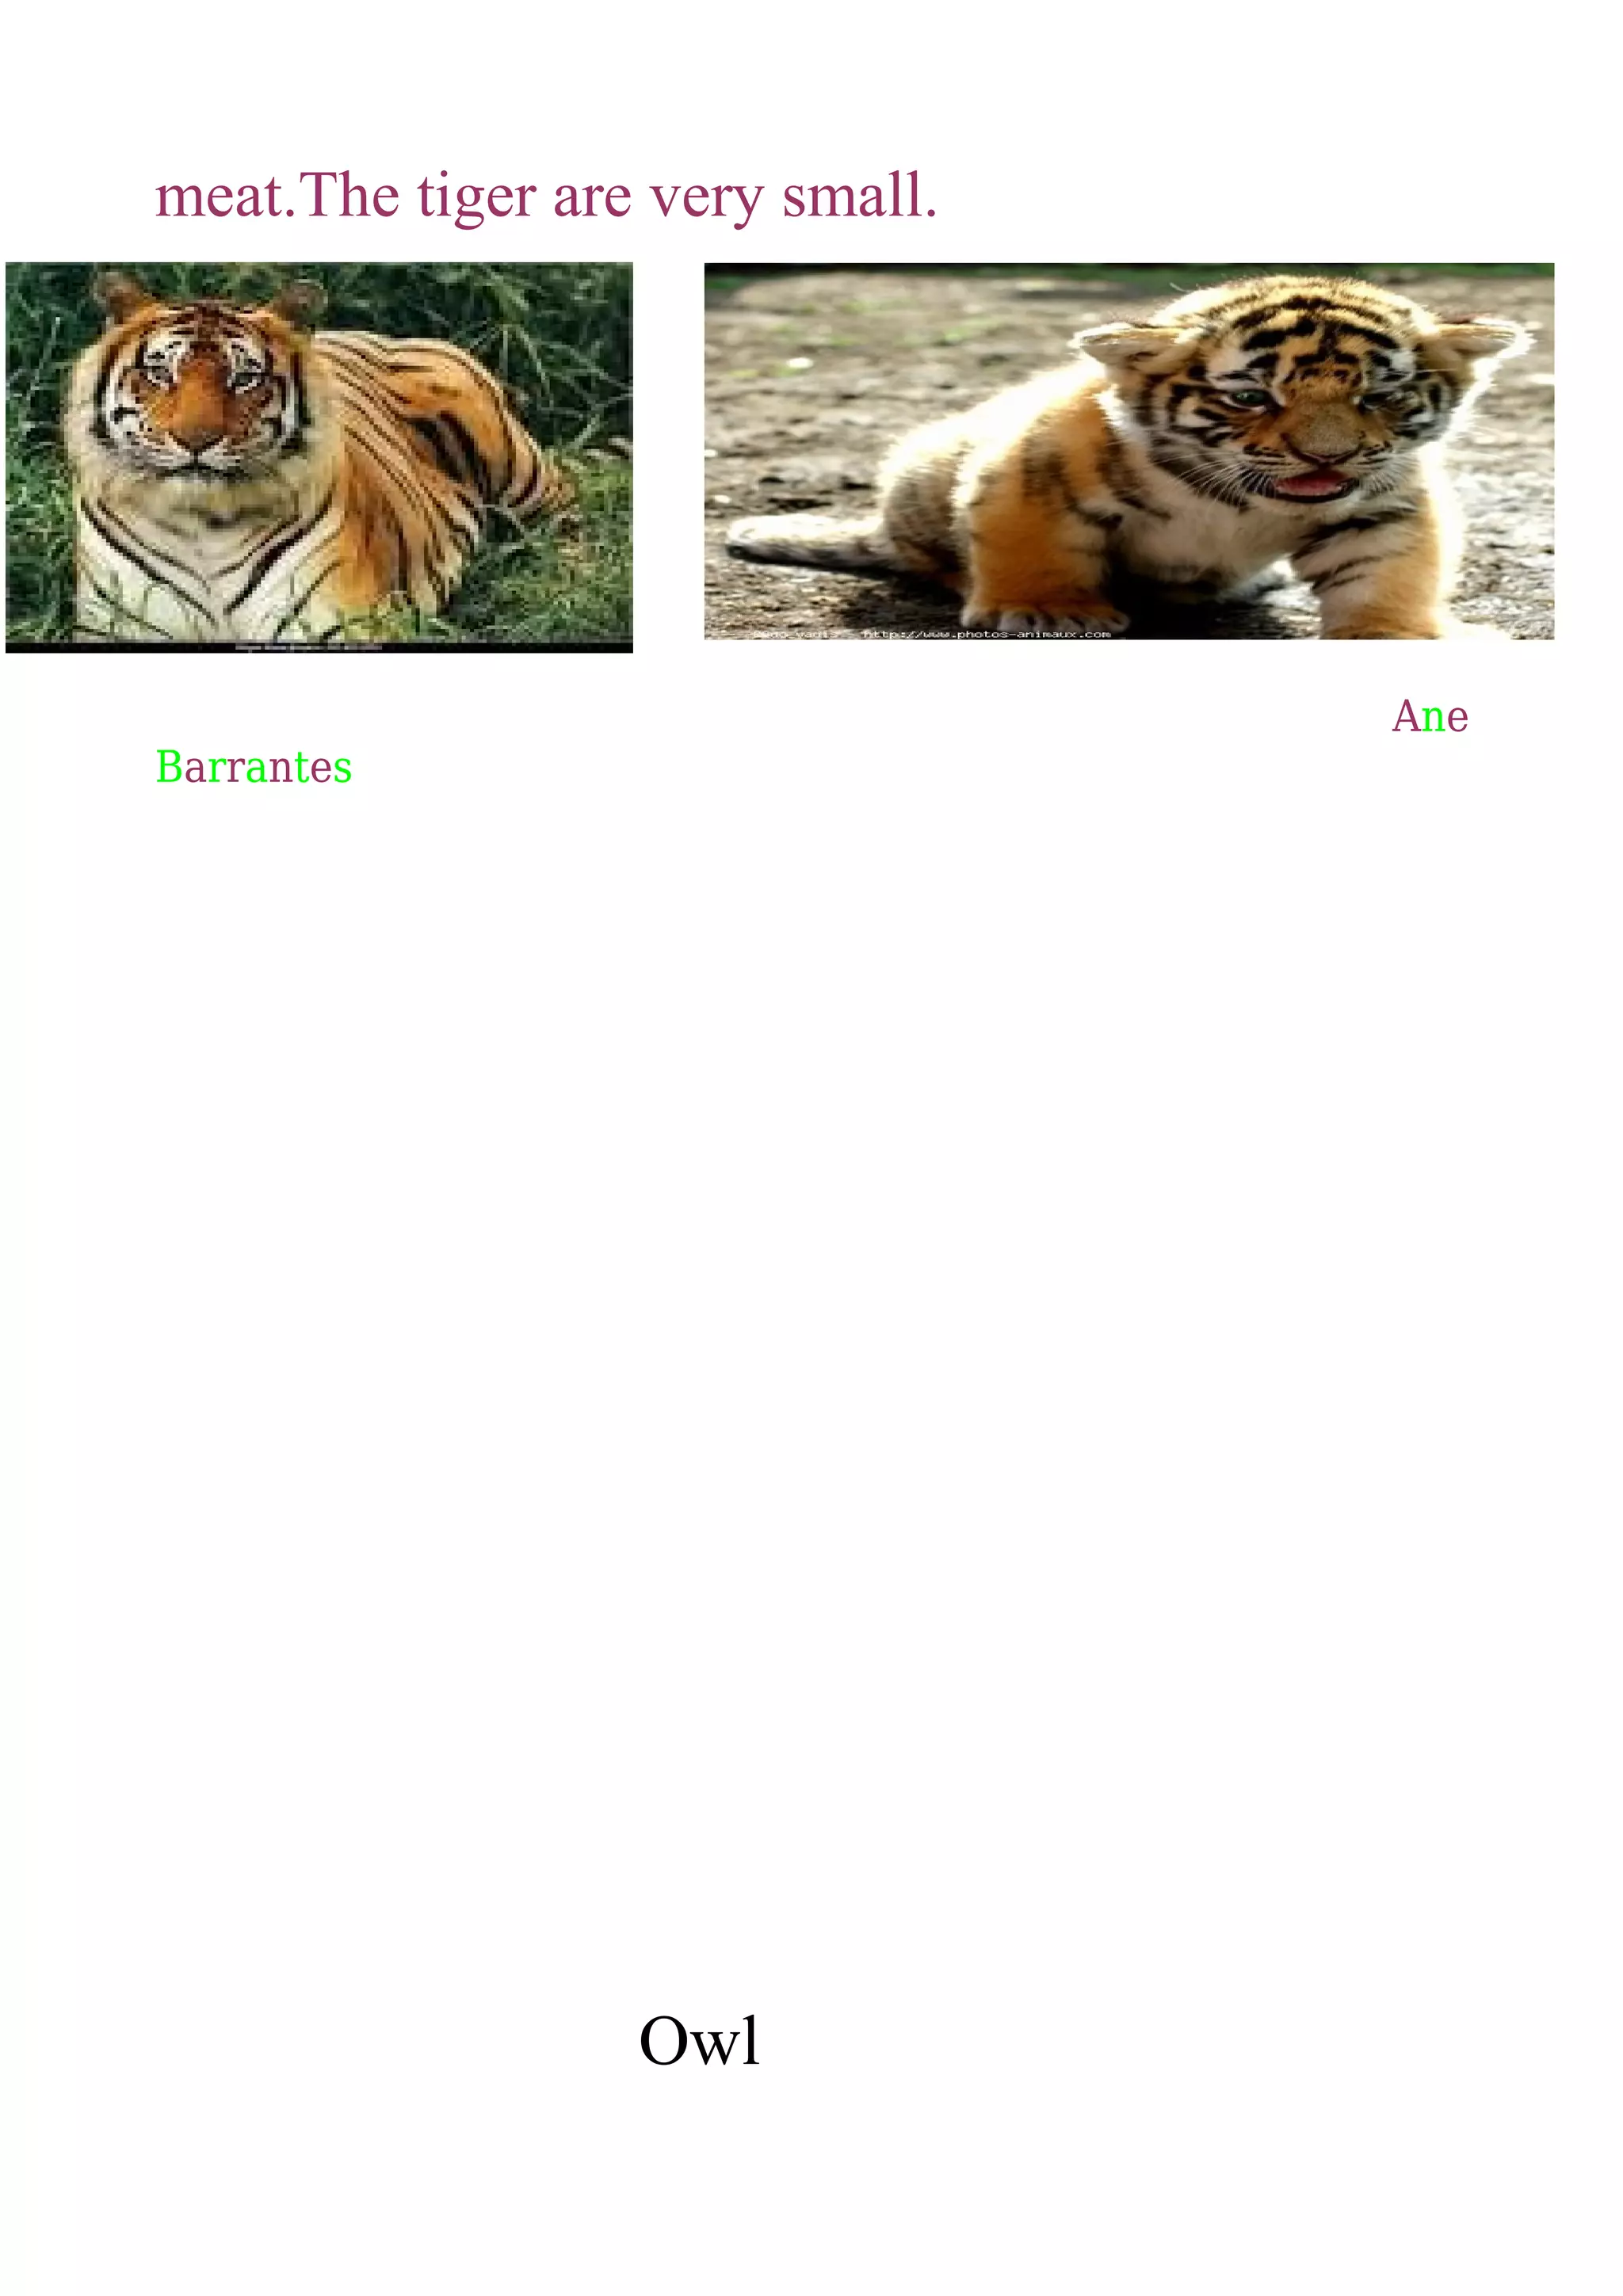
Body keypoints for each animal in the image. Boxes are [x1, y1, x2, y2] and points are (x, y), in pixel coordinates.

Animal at [64, 272, 576, 642]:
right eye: (159, 373)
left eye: (245, 379)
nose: (196, 439)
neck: (202, 525)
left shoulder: (332, 624)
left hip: (513, 461)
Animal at [726, 275, 1531, 638]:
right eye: (1252, 398)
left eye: (1379, 396)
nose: (1326, 459)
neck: (1239, 501)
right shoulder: (1032, 469)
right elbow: (1031, 544)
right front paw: (1047, 611)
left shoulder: (1383, 502)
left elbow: (1388, 571)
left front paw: (1398, 634)